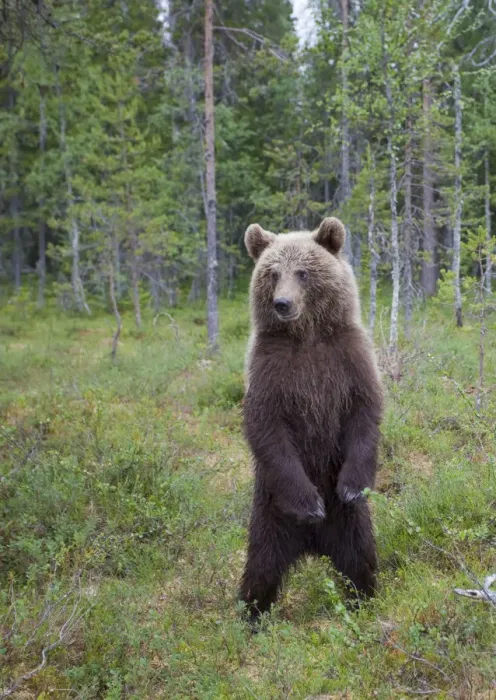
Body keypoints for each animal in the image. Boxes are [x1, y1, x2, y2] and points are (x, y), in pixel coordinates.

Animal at [239, 217, 384, 621]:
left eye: (303, 272)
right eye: (273, 273)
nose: (282, 303)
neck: (307, 336)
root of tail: (313, 544)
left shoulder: (349, 358)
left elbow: (365, 412)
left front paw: (352, 486)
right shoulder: (270, 368)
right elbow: (266, 426)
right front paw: (310, 504)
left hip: (351, 524)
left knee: (360, 560)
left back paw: (365, 602)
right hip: (270, 511)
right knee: (261, 569)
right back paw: (250, 616)